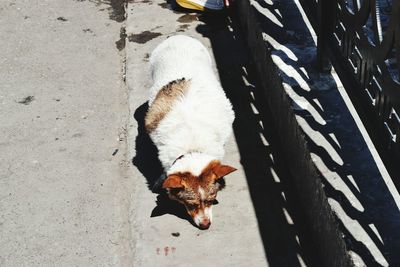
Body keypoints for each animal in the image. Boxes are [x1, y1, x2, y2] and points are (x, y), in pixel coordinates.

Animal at [145, 34, 236, 229]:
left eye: (211, 199)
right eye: (190, 204)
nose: (205, 226)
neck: (192, 146)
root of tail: (178, 36)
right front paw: (161, 179)